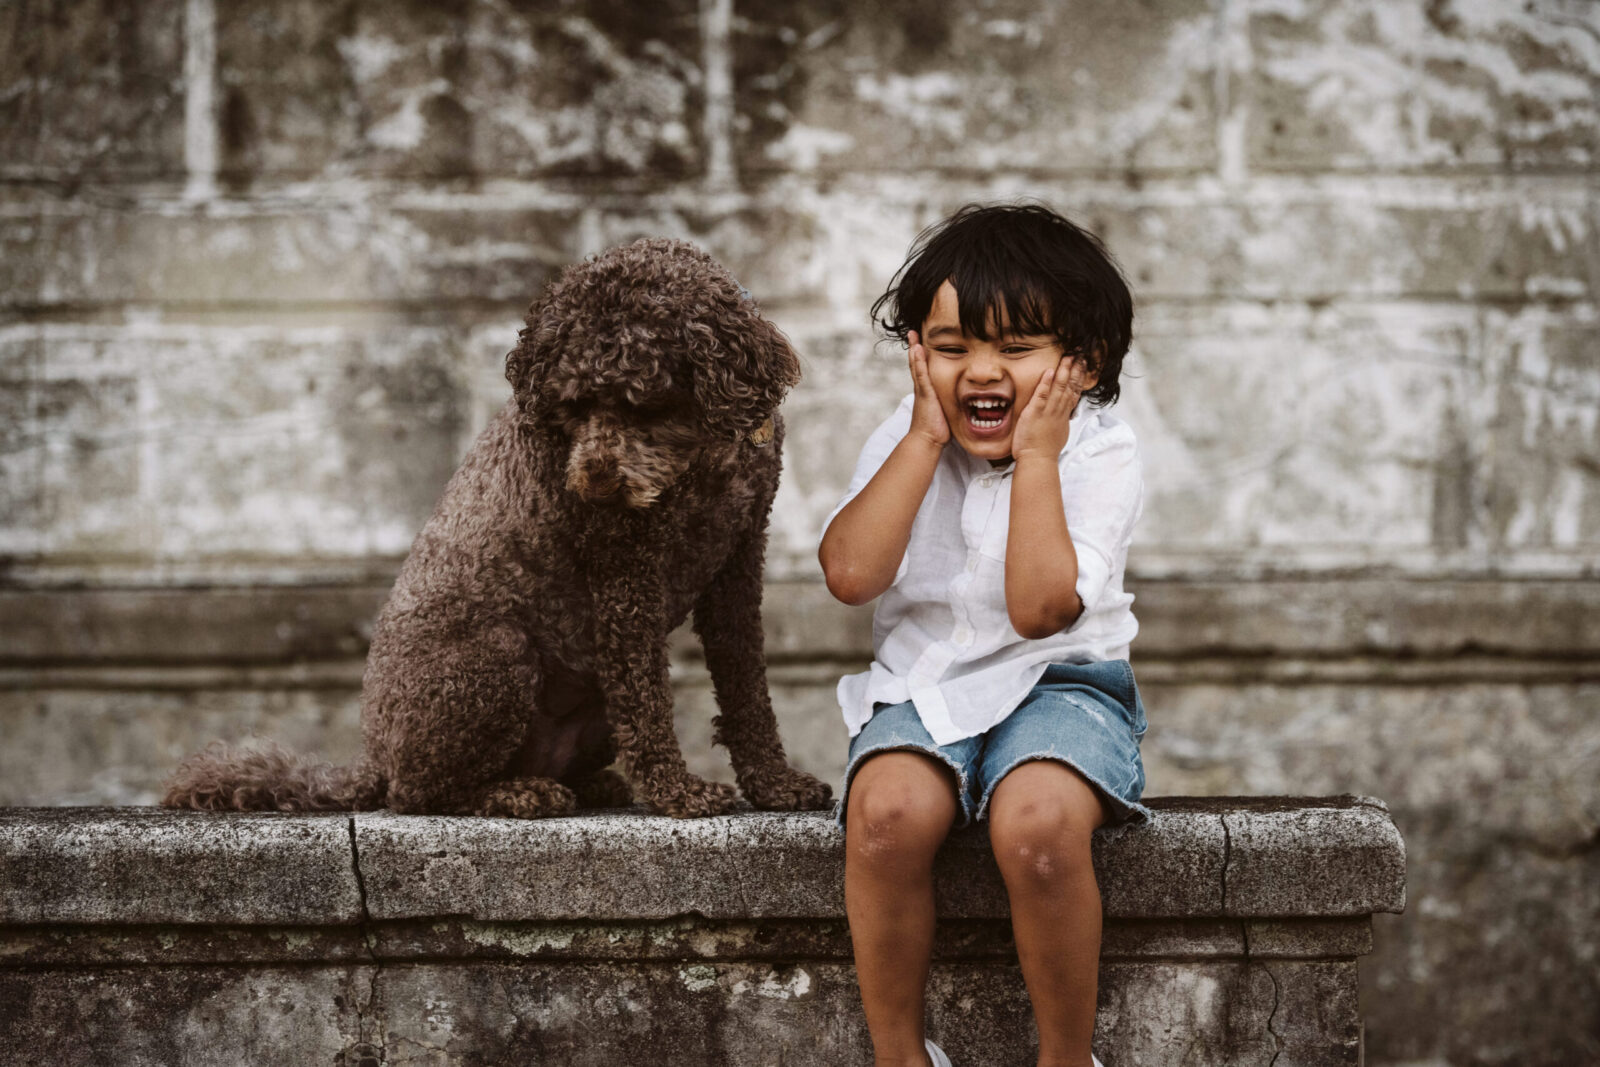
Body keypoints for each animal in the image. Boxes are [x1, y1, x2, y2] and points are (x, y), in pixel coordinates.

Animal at [164, 235, 838, 819]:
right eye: (572, 406)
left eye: (642, 403)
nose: (592, 482)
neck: (704, 453)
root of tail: (374, 759)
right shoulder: (625, 572)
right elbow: (647, 698)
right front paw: (679, 793)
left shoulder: (740, 554)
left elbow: (746, 684)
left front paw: (776, 783)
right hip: (494, 657)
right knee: (420, 794)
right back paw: (518, 794)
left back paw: (588, 784)